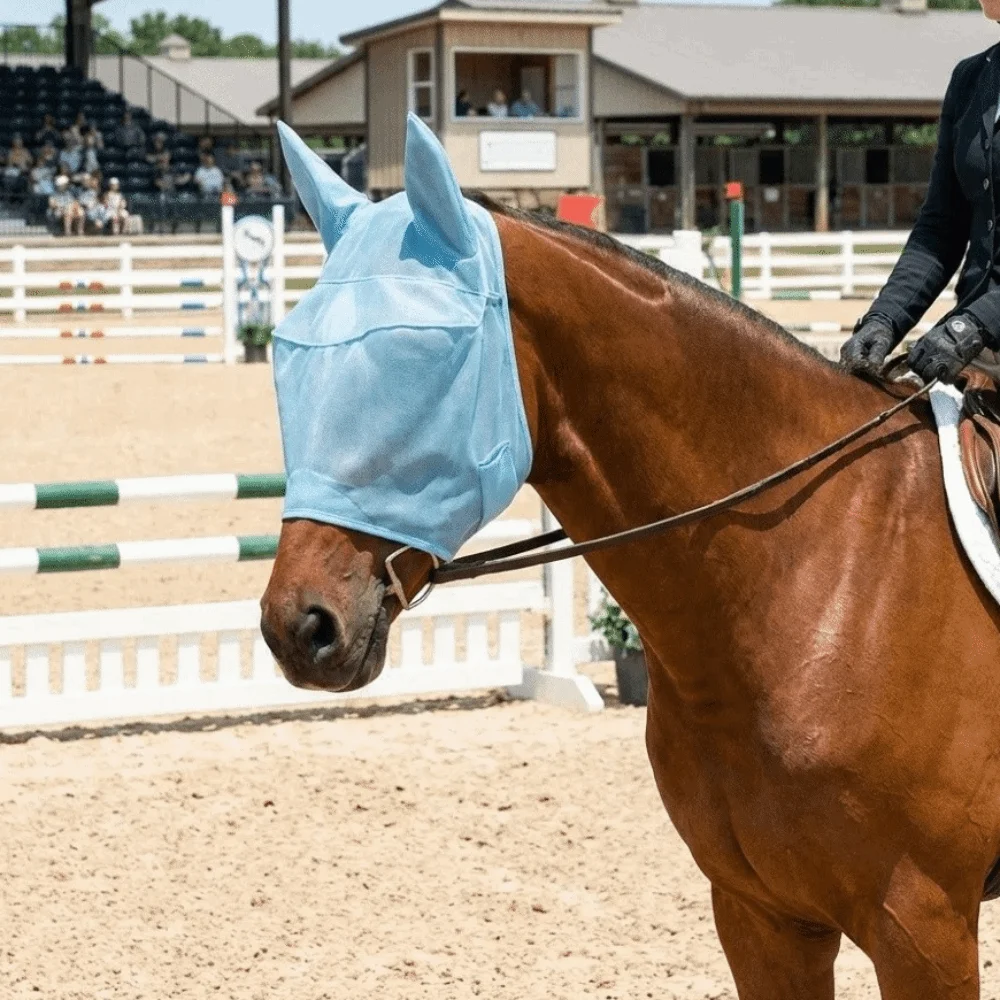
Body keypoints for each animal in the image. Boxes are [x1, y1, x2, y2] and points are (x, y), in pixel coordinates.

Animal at [260, 114, 1000, 998]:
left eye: (419, 356)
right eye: (286, 358)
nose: (298, 627)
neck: (821, 576)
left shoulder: (923, 927)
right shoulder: (762, 917)